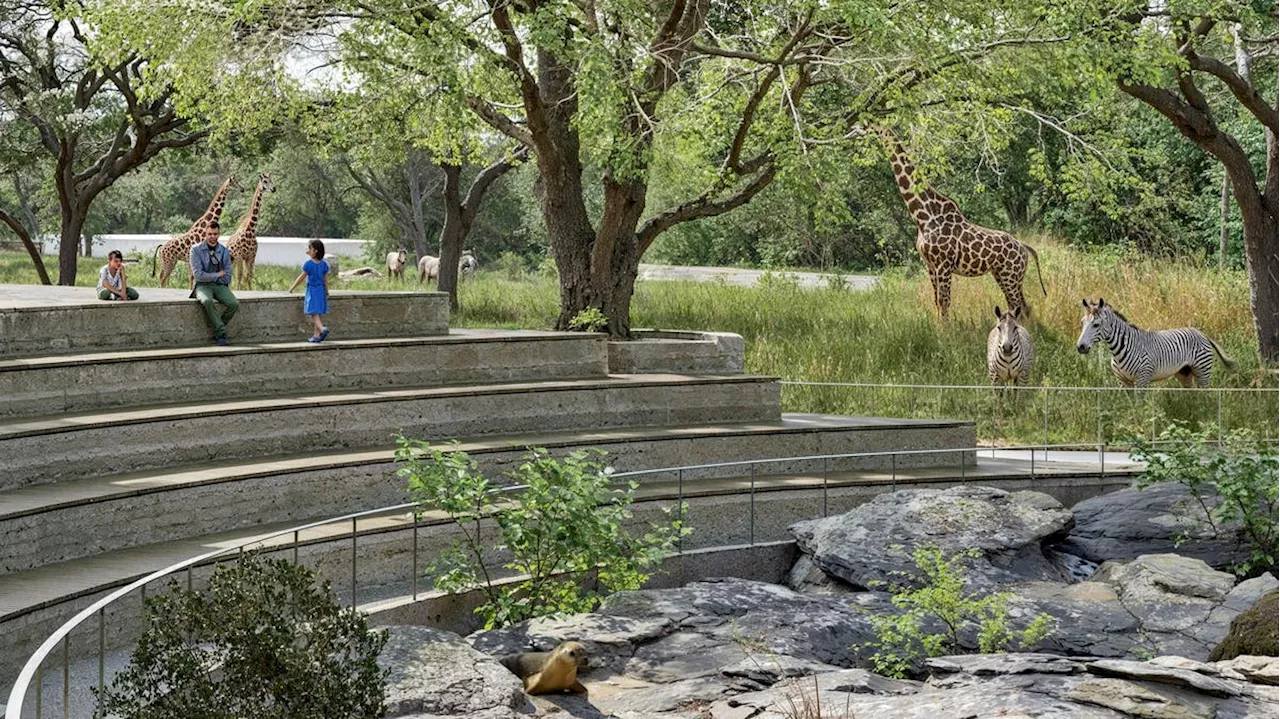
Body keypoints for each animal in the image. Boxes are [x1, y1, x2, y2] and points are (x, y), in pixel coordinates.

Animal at [880, 127, 1049, 318]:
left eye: (866, 125)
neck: (923, 217)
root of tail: (1024, 247)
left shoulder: (943, 264)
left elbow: (944, 302)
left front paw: (948, 327)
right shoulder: (930, 264)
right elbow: (936, 302)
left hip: (1011, 274)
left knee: (1019, 305)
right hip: (1003, 274)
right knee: (1019, 305)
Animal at [1075, 296, 1233, 386]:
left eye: (1096, 325)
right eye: (1082, 322)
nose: (1080, 347)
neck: (1119, 351)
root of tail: (1201, 333)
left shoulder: (1142, 379)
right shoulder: (1123, 381)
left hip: (1203, 370)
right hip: (1185, 373)